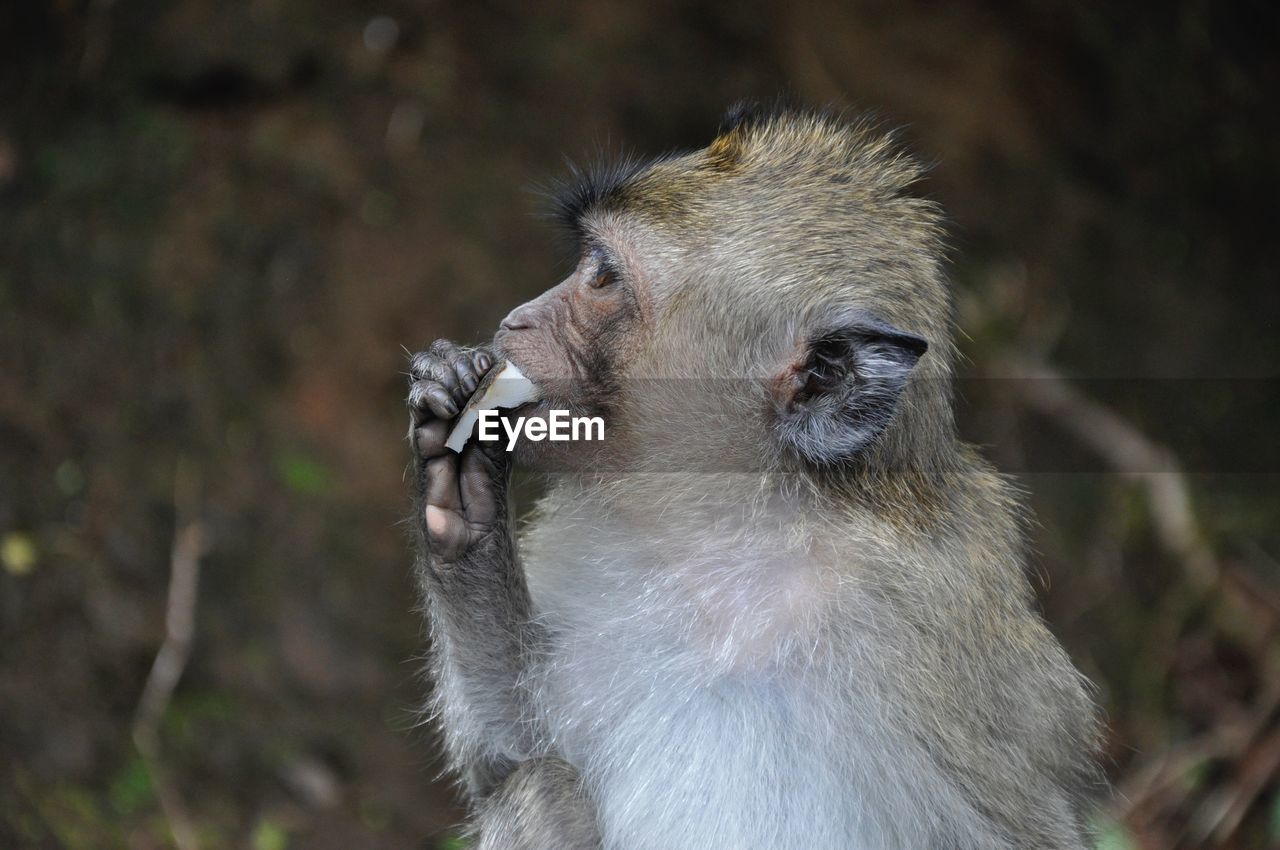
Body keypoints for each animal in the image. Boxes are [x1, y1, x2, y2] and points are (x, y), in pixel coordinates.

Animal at [407, 106, 1100, 850]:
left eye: (603, 275)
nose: (518, 319)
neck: (736, 532)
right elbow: (507, 753)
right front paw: (462, 499)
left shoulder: (932, 623)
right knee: (542, 787)